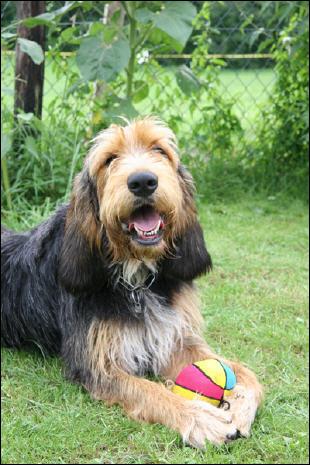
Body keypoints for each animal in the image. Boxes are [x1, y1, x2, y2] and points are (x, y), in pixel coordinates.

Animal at [0, 118, 262, 448]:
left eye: (159, 150)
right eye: (109, 159)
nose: (143, 181)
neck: (136, 278)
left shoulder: (173, 338)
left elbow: (248, 374)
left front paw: (240, 404)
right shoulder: (97, 365)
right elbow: (151, 391)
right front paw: (199, 417)